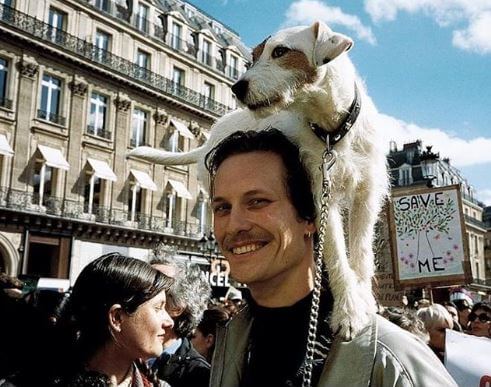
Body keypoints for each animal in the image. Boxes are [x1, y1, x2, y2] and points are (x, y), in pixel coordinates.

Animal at [129, 22, 390, 340]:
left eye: (280, 52)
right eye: (252, 58)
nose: (237, 87)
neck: (332, 131)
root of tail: (208, 143)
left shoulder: (367, 193)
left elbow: (362, 252)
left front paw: (361, 300)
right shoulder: (321, 192)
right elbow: (337, 253)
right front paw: (349, 309)